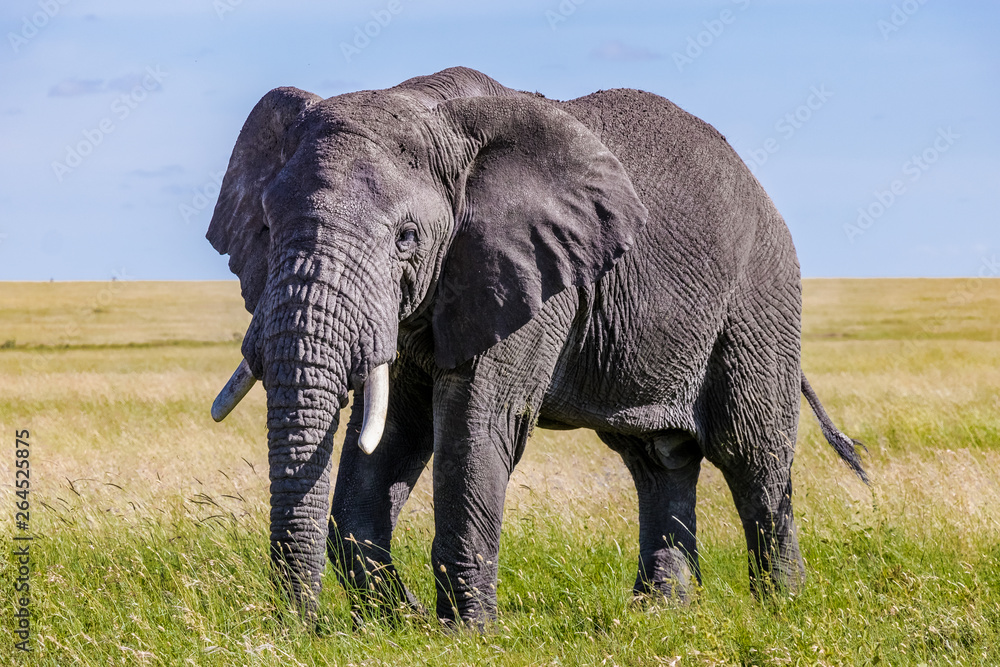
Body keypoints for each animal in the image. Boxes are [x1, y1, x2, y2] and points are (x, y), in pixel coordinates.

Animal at [206, 67, 866, 626]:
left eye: (406, 238)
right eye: (265, 227)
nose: (305, 629)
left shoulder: (532, 274)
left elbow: (477, 423)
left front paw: (462, 635)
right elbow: (393, 434)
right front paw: (396, 624)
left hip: (759, 298)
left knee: (751, 454)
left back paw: (781, 610)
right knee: (658, 459)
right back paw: (660, 615)